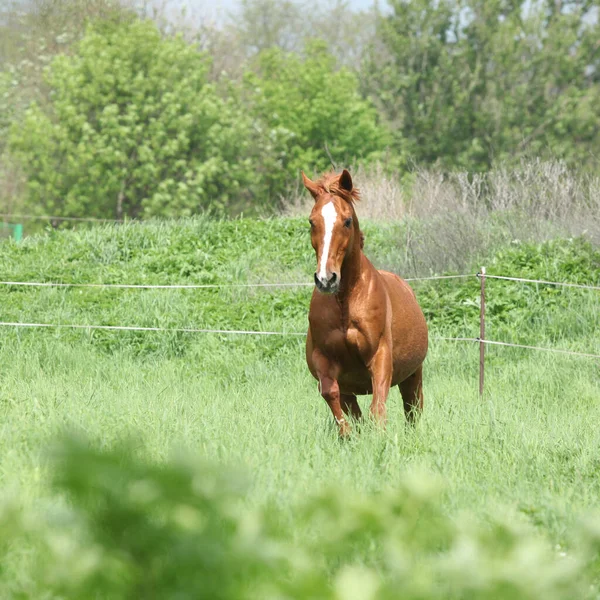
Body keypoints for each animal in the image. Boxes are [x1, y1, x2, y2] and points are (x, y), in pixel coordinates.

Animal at [304, 169, 426, 436]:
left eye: (347, 221)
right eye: (311, 221)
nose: (326, 279)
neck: (345, 302)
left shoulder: (380, 356)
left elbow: (378, 406)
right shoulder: (324, 360)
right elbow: (331, 394)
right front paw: (347, 435)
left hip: (413, 375)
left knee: (412, 410)